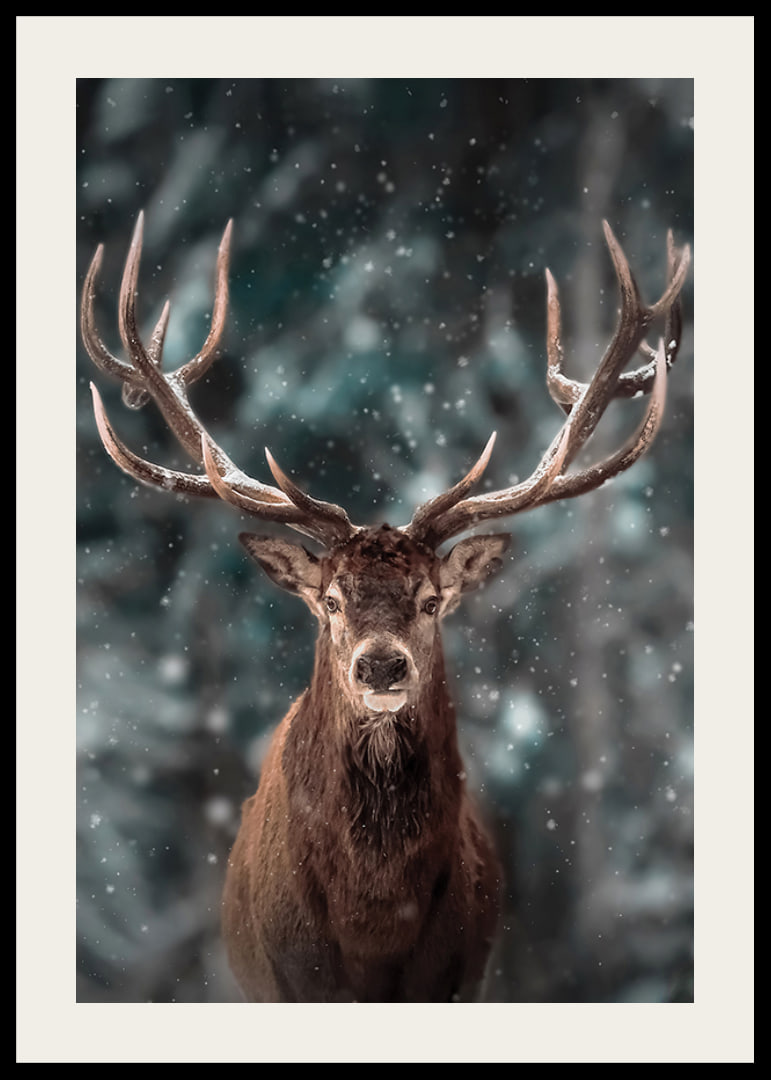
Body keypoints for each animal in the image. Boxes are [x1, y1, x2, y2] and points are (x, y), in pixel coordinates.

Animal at [81, 211, 690, 1002]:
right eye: (331, 600)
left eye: (431, 601)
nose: (379, 667)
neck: (373, 929)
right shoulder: (287, 983)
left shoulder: (459, 978)